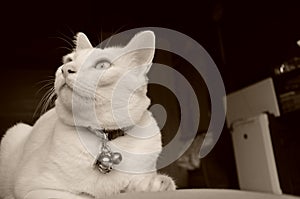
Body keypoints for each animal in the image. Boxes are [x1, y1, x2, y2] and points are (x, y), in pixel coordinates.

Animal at [0, 30, 176, 198]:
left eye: (102, 65)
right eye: (68, 60)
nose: (65, 70)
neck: (104, 136)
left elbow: (138, 185)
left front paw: (158, 184)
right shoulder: (36, 189)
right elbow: (83, 196)